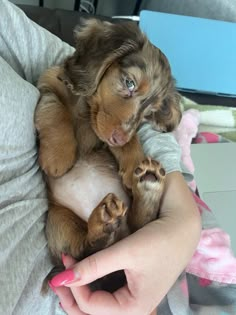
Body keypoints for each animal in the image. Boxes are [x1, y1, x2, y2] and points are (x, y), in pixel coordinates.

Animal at [35, 19, 182, 294]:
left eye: (149, 113)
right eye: (129, 83)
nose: (118, 138)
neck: (87, 108)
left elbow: (131, 140)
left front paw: (133, 163)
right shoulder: (49, 85)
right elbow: (54, 109)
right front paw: (58, 155)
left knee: (133, 228)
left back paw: (146, 185)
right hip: (58, 221)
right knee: (85, 250)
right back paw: (104, 224)